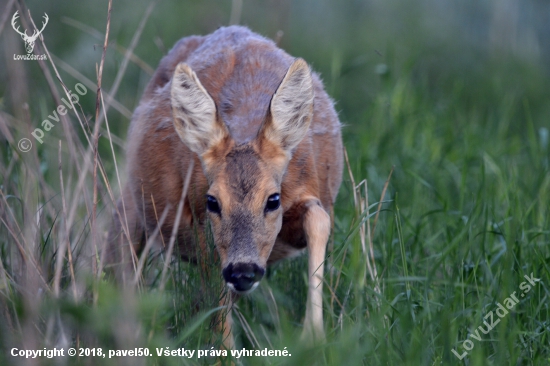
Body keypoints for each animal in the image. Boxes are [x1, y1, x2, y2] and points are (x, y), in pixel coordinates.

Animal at [109, 25, 342, 346]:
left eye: (273, 199)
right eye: (212, 201)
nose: (243, 271)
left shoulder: (308, 194)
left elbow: (318, 220)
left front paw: (313, 334)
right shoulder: (199, 224)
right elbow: (217, 297)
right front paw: (227, 351)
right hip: (135, 200)